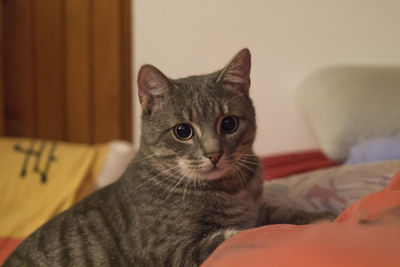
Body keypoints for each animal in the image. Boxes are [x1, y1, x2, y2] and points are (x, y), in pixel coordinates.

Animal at [3, 49, 334, 266]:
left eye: (229, 123)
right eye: (182, 131)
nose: (214, 154)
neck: (233, 189)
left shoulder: (258, 207)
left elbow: (283, 212)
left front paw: (323, 216)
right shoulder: (174, 250)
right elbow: (247, 234)